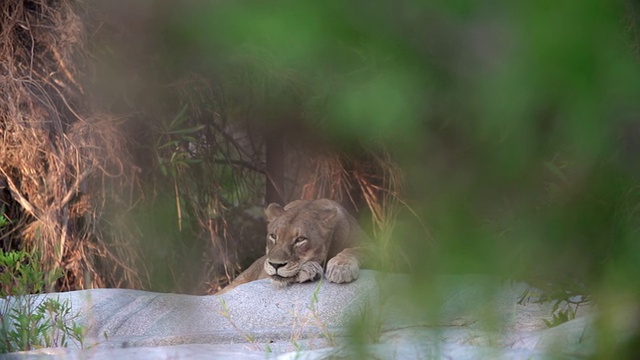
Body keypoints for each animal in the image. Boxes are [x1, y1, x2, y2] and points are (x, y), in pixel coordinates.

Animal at [220, 198, 370, 294]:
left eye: (300, 239)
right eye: (273, 236)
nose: (275, 265)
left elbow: (358, 250)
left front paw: (340, 267)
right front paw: (308, 269)